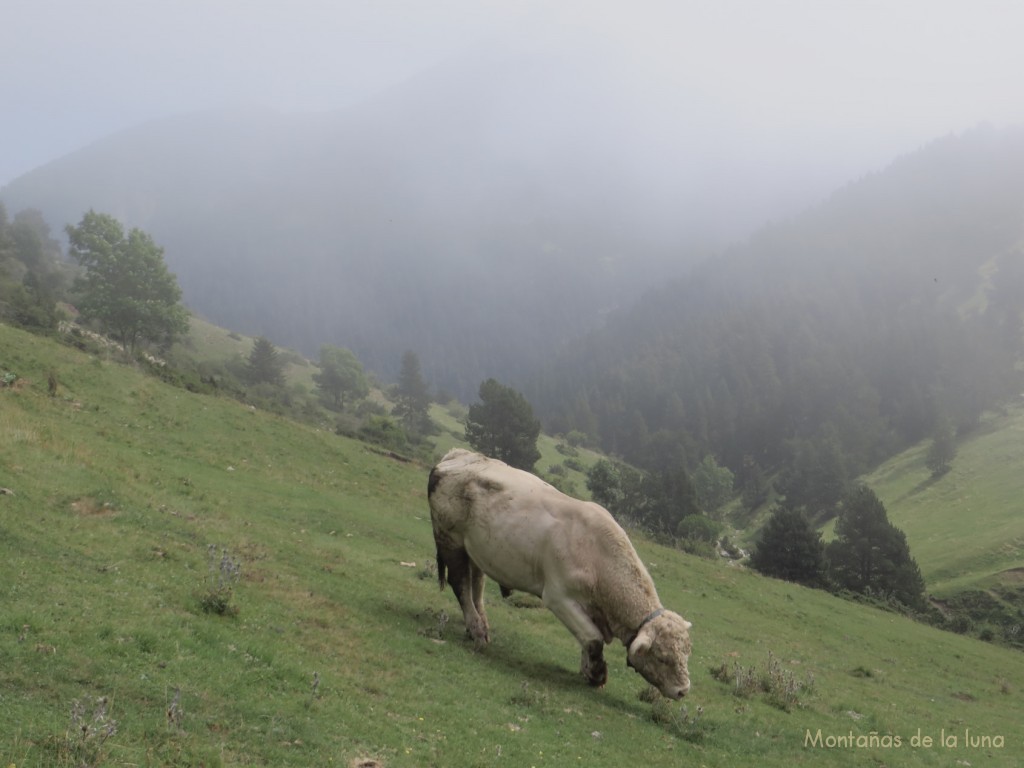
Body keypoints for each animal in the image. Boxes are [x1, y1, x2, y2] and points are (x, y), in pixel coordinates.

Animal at [423, 448, 696, 700]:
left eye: (687, 652)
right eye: (662, 657)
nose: (683, 690)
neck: (597, 555)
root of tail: (459, 454)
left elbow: (587, 638)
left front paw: (587, 669)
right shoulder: (558, 597)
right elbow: (593, 638)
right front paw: (596, 674)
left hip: (477, 549)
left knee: (476, 586)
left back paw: (480, 626)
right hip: (450, 539)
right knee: (461, 584)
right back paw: (478, 632)